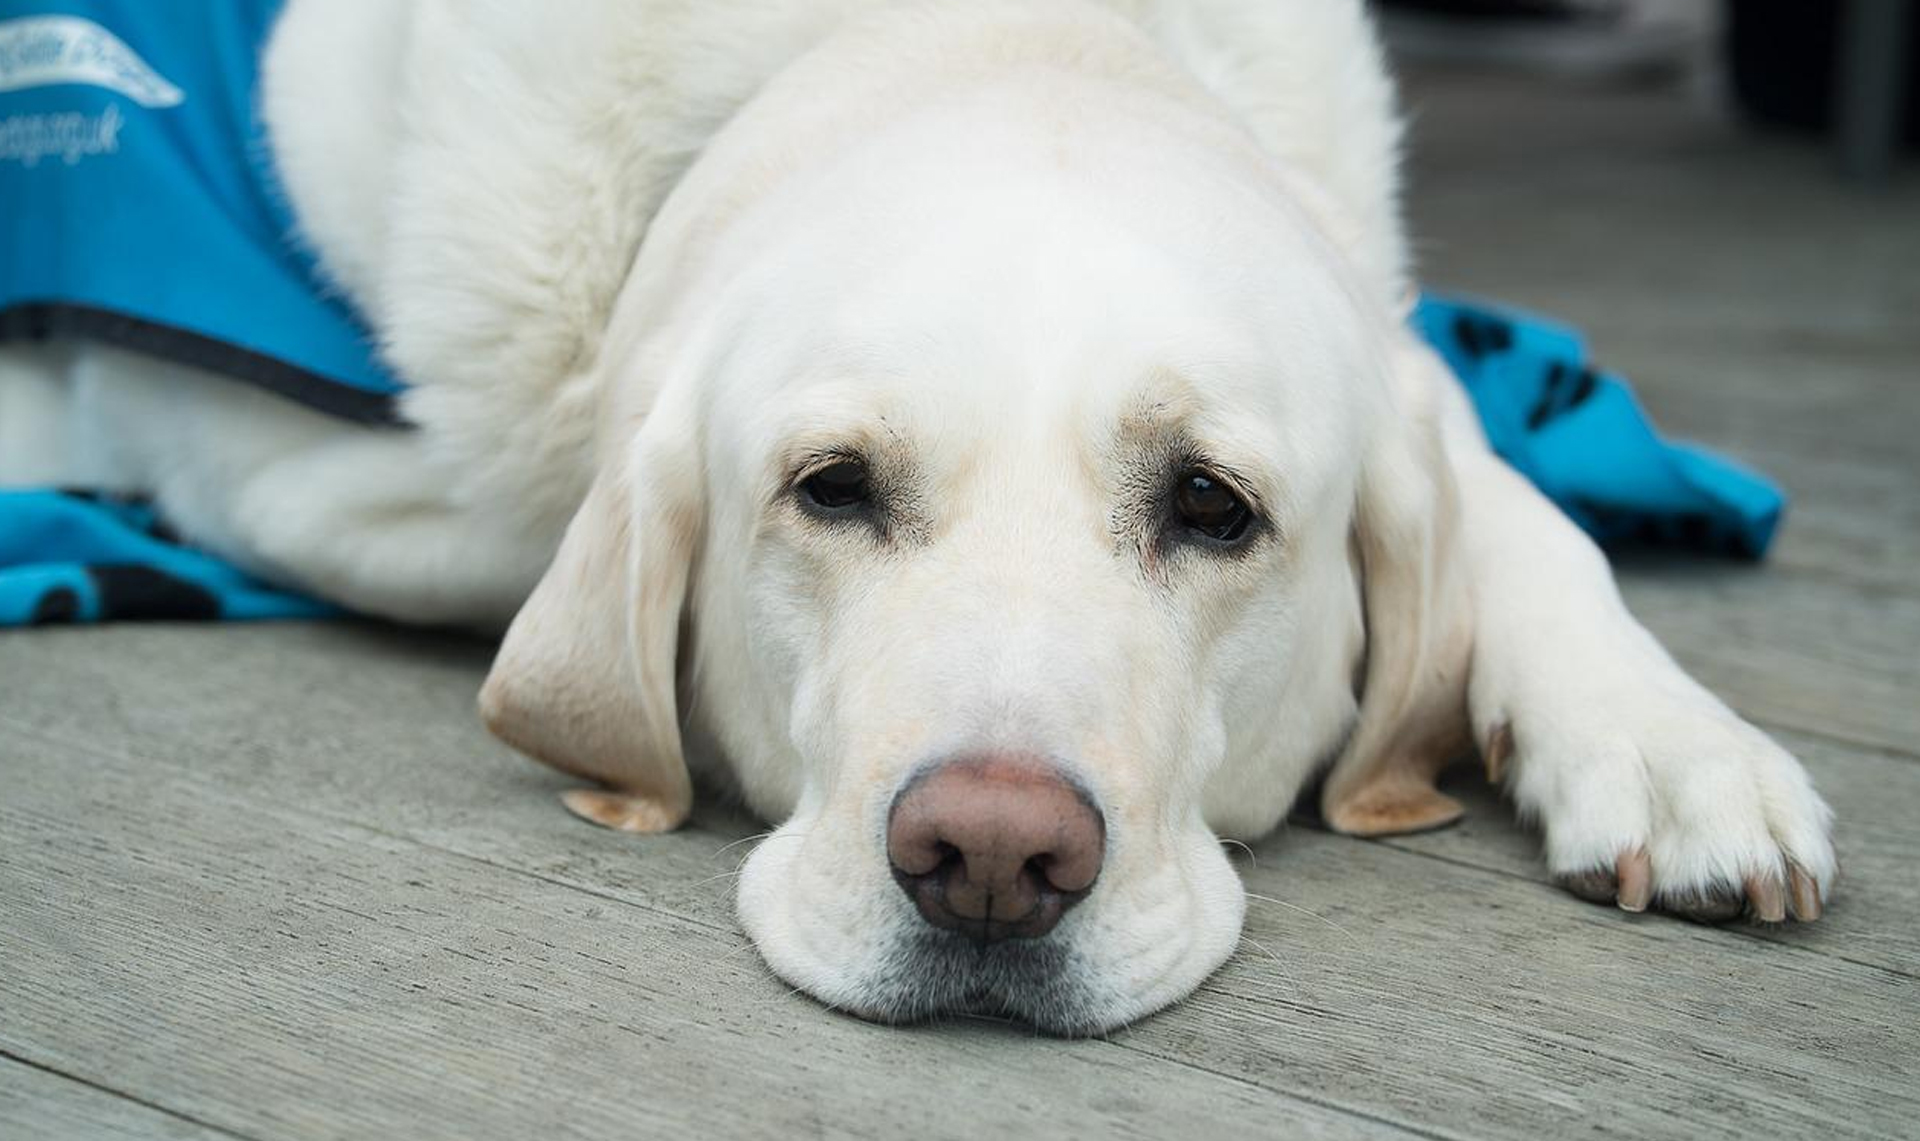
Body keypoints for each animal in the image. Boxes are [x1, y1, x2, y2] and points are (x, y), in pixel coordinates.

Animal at [0, 0, 1827, 1029]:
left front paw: (1672, 744)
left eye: (1213, 506)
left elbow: (1514, 505)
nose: (995, 860)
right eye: (831, 489)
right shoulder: (296, 464)